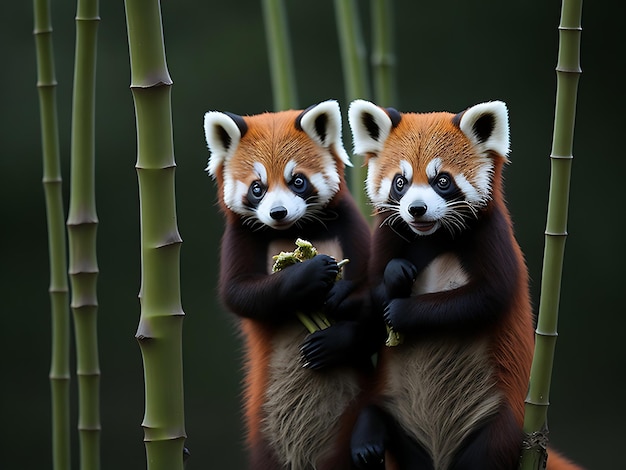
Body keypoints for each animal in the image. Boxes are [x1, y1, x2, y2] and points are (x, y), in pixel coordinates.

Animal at [202, 100, 372, 470]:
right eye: (257, 188)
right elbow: (238, 294)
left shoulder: (352, 225)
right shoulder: (239, 238)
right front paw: (307, 274)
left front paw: (335, 327)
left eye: (298, 181)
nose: (278, 213)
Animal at [346, 100, 580, 470]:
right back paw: (367, 442)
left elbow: (483, 299)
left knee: (489, 449)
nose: (416, 209)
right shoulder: (383, 237)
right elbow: (373, 296)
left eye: (442, 181)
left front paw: (403, 311)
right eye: (400, 183)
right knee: (374, 413)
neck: (431, 237)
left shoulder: (493, 238)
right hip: (394, 410)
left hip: (498, 419)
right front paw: (396, 276)